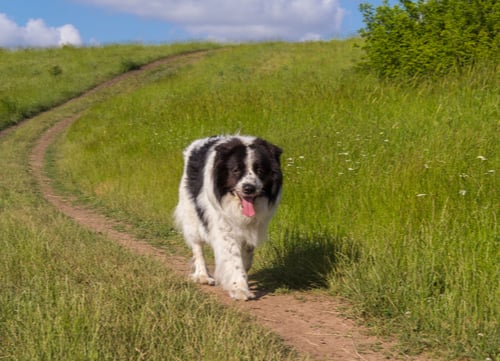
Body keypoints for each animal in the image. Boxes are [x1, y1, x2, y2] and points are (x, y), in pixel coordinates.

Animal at [173, 134, 282, 298]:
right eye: (235, 170)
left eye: (260, 170)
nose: (249, 188)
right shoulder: (224, 226)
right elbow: (233, 258)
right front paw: (239, 288)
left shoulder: (254, 226)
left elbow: (247, 258)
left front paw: (242, 279)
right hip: (191, 213)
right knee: (197, 245)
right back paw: (202, 275)